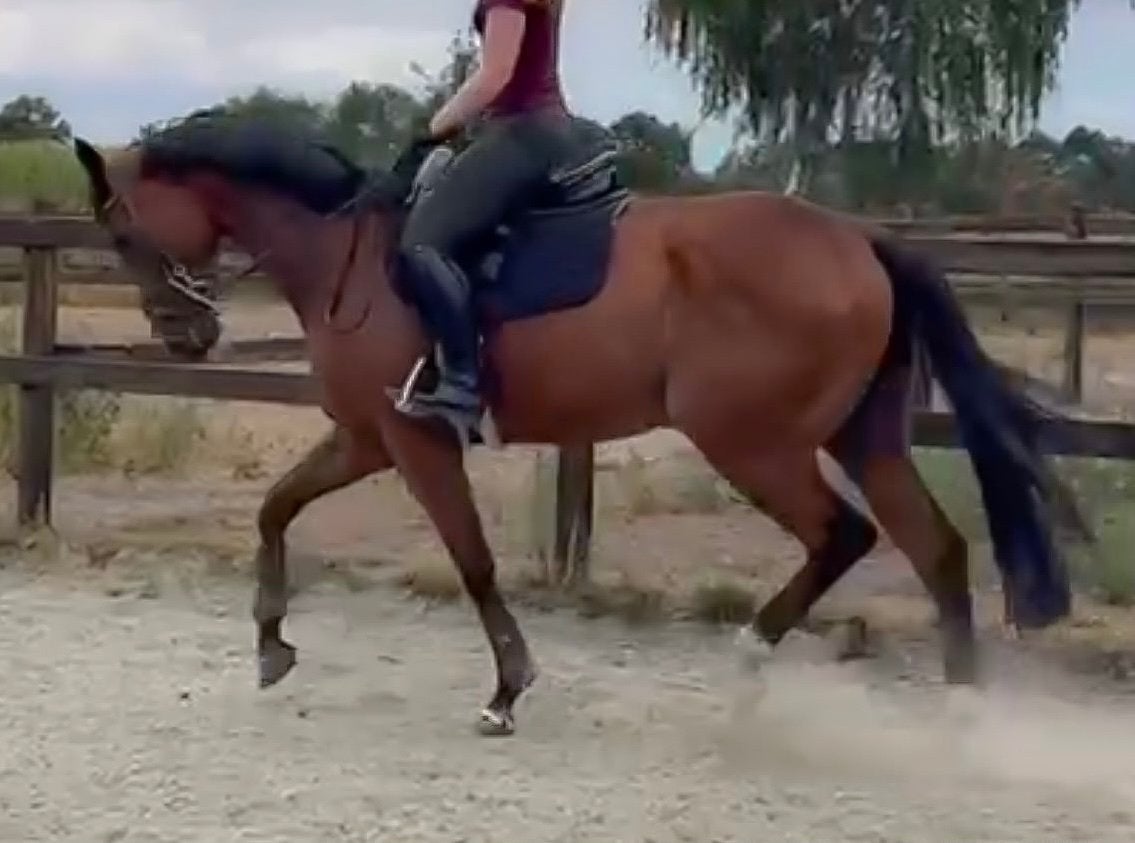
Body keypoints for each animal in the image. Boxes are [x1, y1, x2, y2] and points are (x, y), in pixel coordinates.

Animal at [71, 110, 1087, 736]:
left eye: (120, 234)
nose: (185, 336)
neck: (344, 253)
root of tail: (857, 239)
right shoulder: (364, 435)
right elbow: (276, 506)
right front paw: (272, 646)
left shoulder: (415, 440)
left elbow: (473, 560)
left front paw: (505, 692)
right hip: (859, 435)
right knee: (937, 546)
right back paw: (959, 714)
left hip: (751, 440)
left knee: (843, 534)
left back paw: (749, 666)